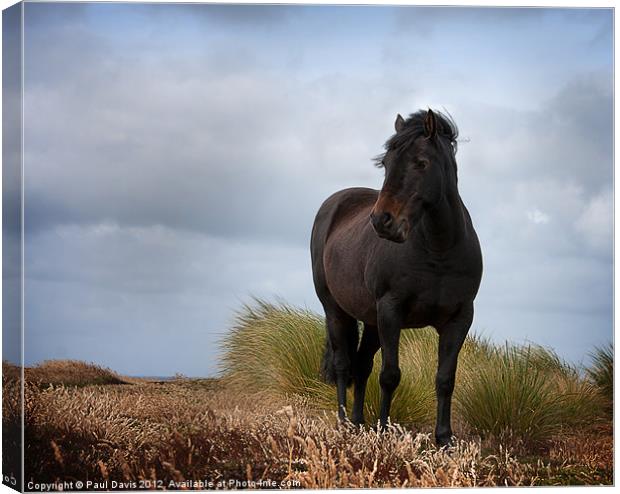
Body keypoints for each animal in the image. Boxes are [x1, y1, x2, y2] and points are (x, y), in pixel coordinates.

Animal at [312, 109, 482, 448]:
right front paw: (384, 430)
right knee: (343, 365)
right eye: (386, 163)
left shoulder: (459, 318)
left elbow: (445, 378)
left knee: (362, 365)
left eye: (421, 162)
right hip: (337, 312)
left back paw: (357, 422)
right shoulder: (391, 311)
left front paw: (444, 439)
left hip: (372, 322)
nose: (382, 221)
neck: (440, 250)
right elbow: (390, 375)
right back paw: (343, 424)